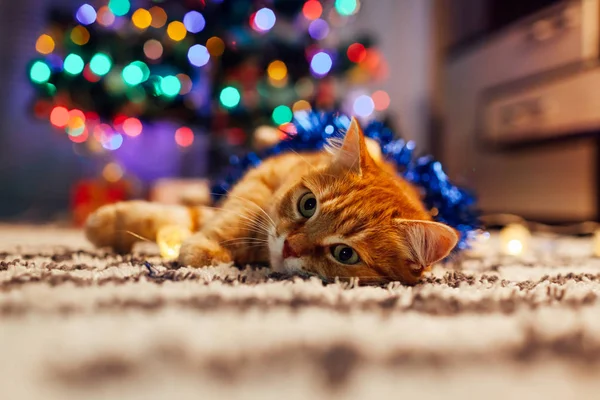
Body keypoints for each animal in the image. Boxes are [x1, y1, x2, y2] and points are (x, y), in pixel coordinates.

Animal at [86, 117, 458, 286]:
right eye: (308, 205)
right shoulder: (258, 182)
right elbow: (229, 216)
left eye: (344, 254)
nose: (291, 246)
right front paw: (104, 225)